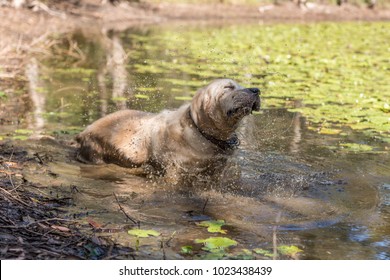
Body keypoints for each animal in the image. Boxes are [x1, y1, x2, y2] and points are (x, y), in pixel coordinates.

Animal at [75, 79, 260, 184]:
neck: (202, 133)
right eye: (228, 87)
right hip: (97, 156)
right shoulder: (175, 171)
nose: (256, 90)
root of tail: (83, 132)